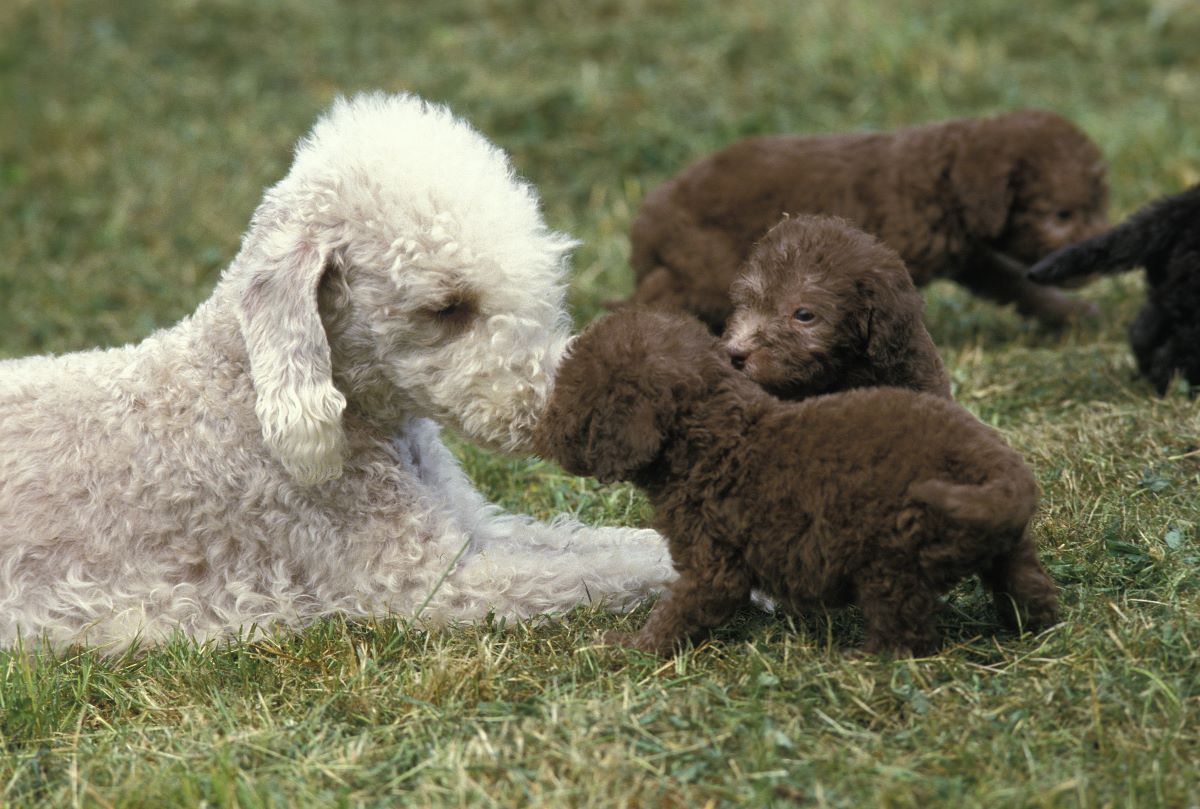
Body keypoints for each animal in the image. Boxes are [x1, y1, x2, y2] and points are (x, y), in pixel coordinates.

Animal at [0, 93, 676, 648]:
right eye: (448, 306)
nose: (574, 408)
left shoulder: (475, 526)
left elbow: (604, 544)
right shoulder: (427, 581)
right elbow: (596, 570)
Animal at [537, 309, 1060, 652]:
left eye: (572, 400)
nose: (543, 427)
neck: (714, 435)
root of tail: (994, 464)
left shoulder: (712, 560)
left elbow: (680, 610)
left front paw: (627, 645)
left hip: (890, 559)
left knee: (906, 632)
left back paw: (862, 659)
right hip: (1007, 545)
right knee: (1028, 586)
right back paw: (1036, 628)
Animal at [624, 108, 1108, 328]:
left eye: (1099, 207)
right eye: (1062, 214)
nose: (1096, 255)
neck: (939, 180)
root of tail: (647, 220)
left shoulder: (970, 256)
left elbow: (1014, 283)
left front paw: (1072, 314)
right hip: (706, 263)